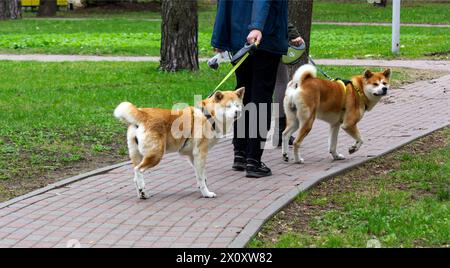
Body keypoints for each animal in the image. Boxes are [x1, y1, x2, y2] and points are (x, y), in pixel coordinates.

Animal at [114, 88, 244, 199]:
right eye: (228, 106)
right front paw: (206, 193)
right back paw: (142, 191)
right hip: (156, 155)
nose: (237, 112)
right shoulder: (200, 153)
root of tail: (143, 114)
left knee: (135, 176)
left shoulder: (192, 156)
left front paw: (202, 188)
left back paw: (142, 193)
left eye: (237, 105)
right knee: (138, 170)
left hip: (137, 155)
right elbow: (201, 177)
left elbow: (202, 176)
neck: (209, 115)